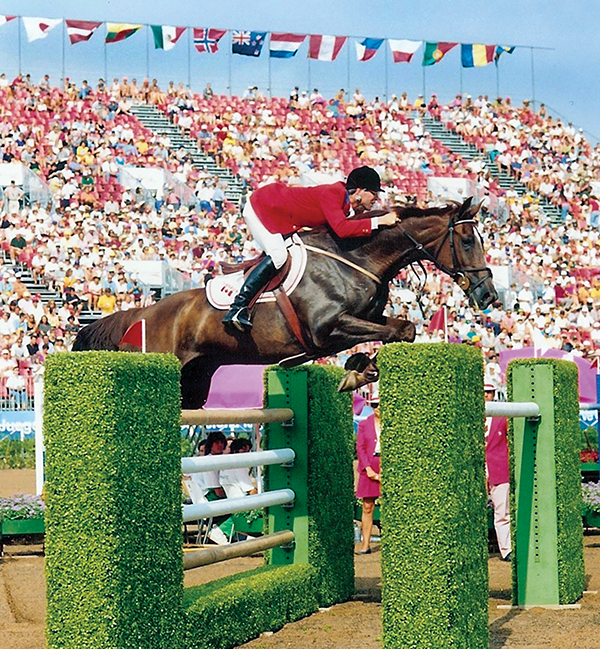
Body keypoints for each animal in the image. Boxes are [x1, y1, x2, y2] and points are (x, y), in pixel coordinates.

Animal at [73, 197, 498, 408]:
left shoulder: (363, 320)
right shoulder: (326, 329)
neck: (356, 257)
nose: (488, 295)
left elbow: (399, 330)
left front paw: (359, 370)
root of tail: (142, 313)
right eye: (466, 241)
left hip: (194, 383)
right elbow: (402, 329)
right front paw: (356, 373)